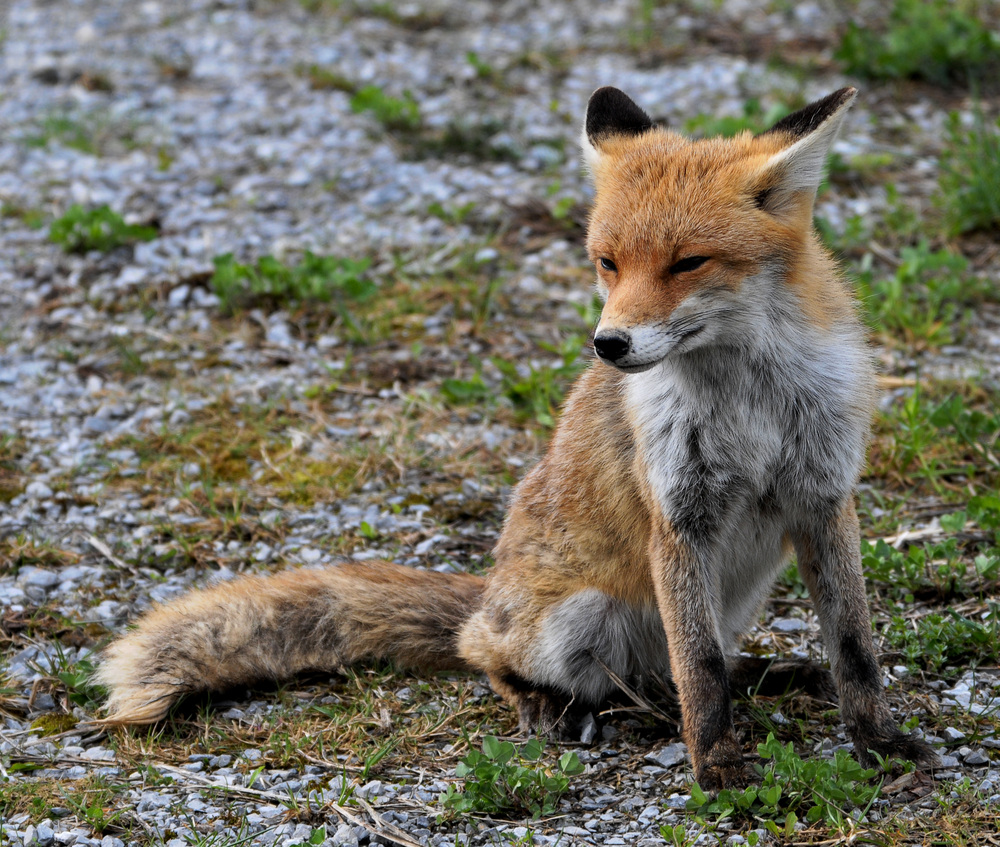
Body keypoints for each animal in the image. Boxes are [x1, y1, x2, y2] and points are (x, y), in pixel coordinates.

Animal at [95, 84, 936, 788]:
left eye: (688, 262)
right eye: (608, 262)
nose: (609, 345)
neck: (751, 404)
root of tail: (491, 588)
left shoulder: (824, 496)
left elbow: (853, 647)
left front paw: (878, 741)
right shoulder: (677, 517)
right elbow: (698, 670)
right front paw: (719, 766)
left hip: (734, 594)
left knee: (684, 667)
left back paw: (770, 675)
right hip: (578, 617)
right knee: (510, 656)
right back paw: (545, 704)